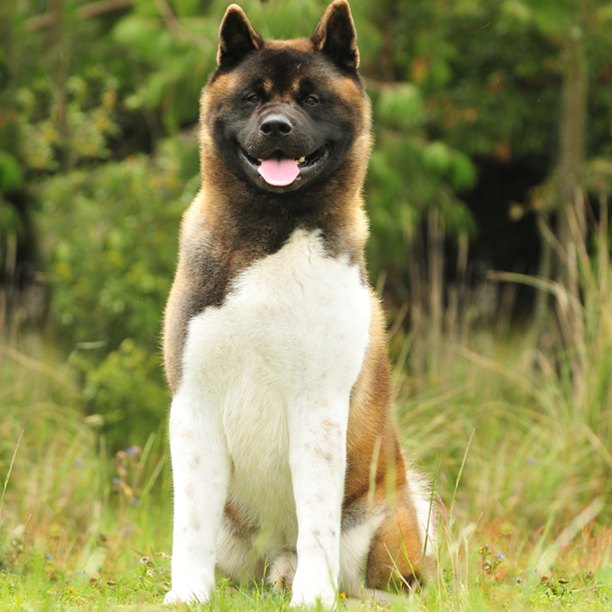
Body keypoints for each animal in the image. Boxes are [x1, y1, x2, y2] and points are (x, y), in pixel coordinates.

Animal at [160, 0, 432, 604]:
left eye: (310, 99)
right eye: (252, 98)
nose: (276, 127)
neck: (272, 232)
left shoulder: (318, 408)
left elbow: (316, 520)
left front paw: (312, 596)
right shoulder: (194, 404)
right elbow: (188, 522)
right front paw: (187, 594)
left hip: (399, 523)